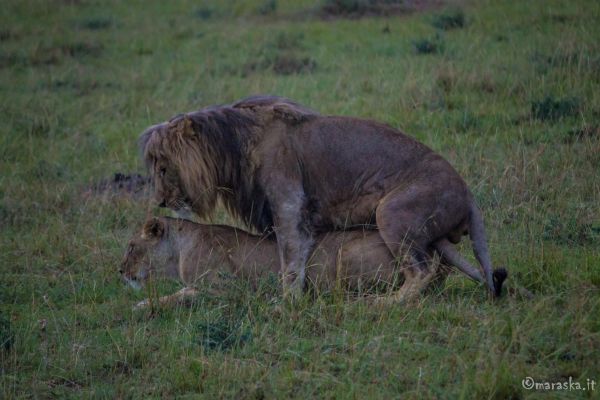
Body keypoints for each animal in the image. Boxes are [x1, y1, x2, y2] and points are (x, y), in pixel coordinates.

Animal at [141, 95, 506, 300]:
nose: (159, 201)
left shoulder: (289, 204)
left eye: (163, 167)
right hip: (432, 234)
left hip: (391, 213)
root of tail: (468, 193)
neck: (232, 146)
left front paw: (288, 302)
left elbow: (290, 261)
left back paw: (382, 303)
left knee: (421, 271)